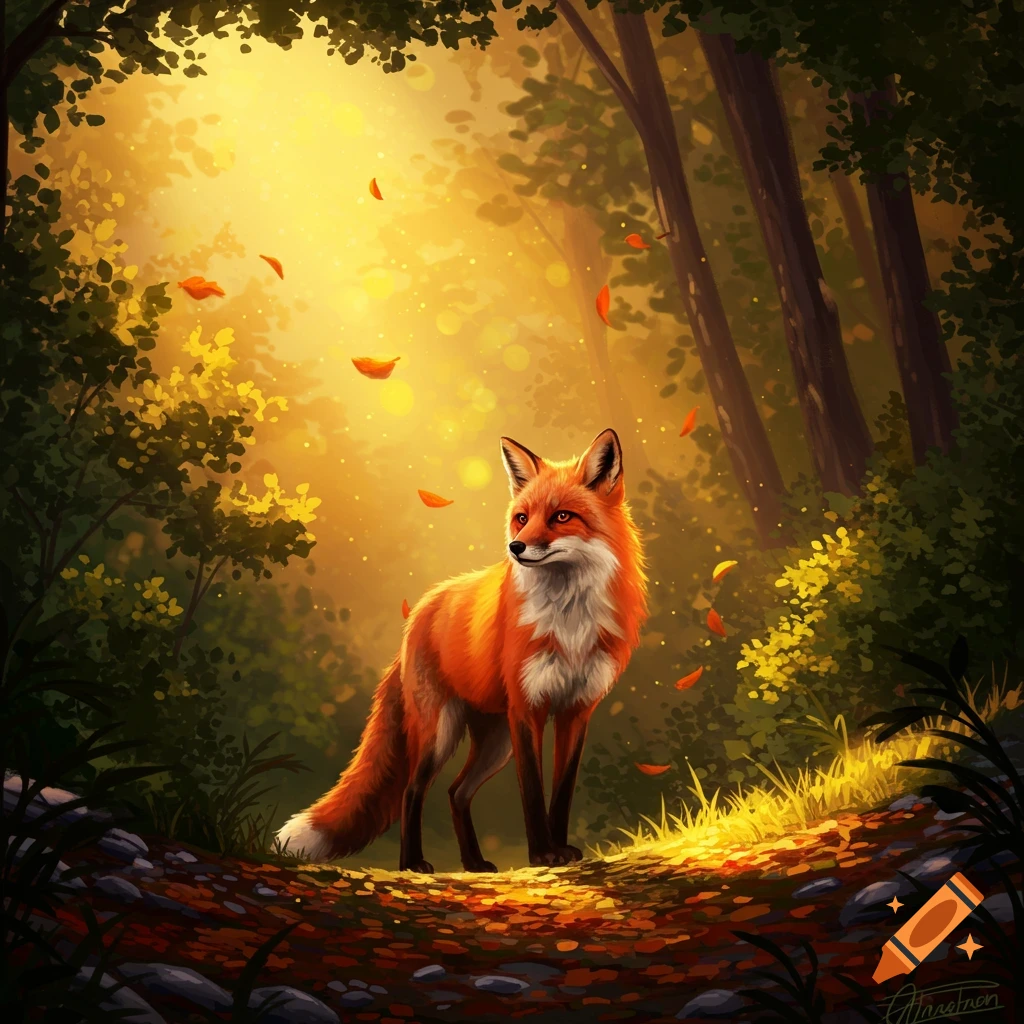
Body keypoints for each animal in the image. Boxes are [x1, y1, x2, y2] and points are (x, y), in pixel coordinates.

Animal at [276, 427, 648, 871]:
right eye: (522, 518)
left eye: (561, 516)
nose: (516, 547)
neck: (569, 621)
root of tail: (419, 612)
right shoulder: (528, 709)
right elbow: (532, 791)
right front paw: (542, 854)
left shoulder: (576, 711)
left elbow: (561, 793)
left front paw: (561, 850)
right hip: (442, 731)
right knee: (412, 791)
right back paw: (412, 863)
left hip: (495, 742)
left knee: (456, 792)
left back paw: (473, 862)